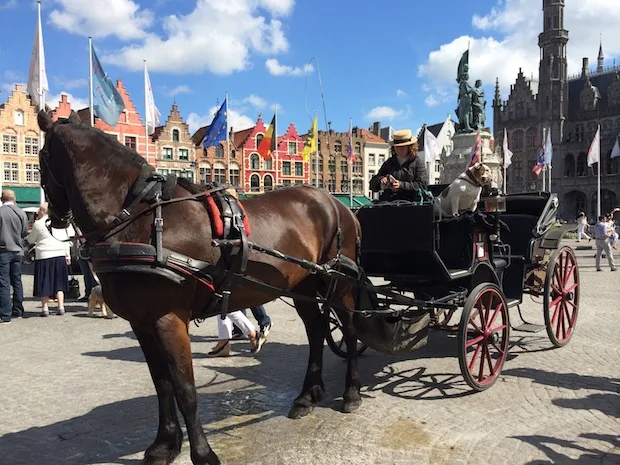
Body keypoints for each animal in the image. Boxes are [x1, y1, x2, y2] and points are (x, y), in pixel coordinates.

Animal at [37, 111, 364, 464]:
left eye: (40, 158)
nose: (54, 218)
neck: (138, 219)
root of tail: (336, 203)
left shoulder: (169, 319)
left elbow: (185, 388)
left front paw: (203, 454)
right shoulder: (141, 322)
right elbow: (162, 384)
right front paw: (164, 445)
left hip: (339, 284)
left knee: (349, 329)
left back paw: (351, 392)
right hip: (303, 285)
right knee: (316, 330)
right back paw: (307, 395)